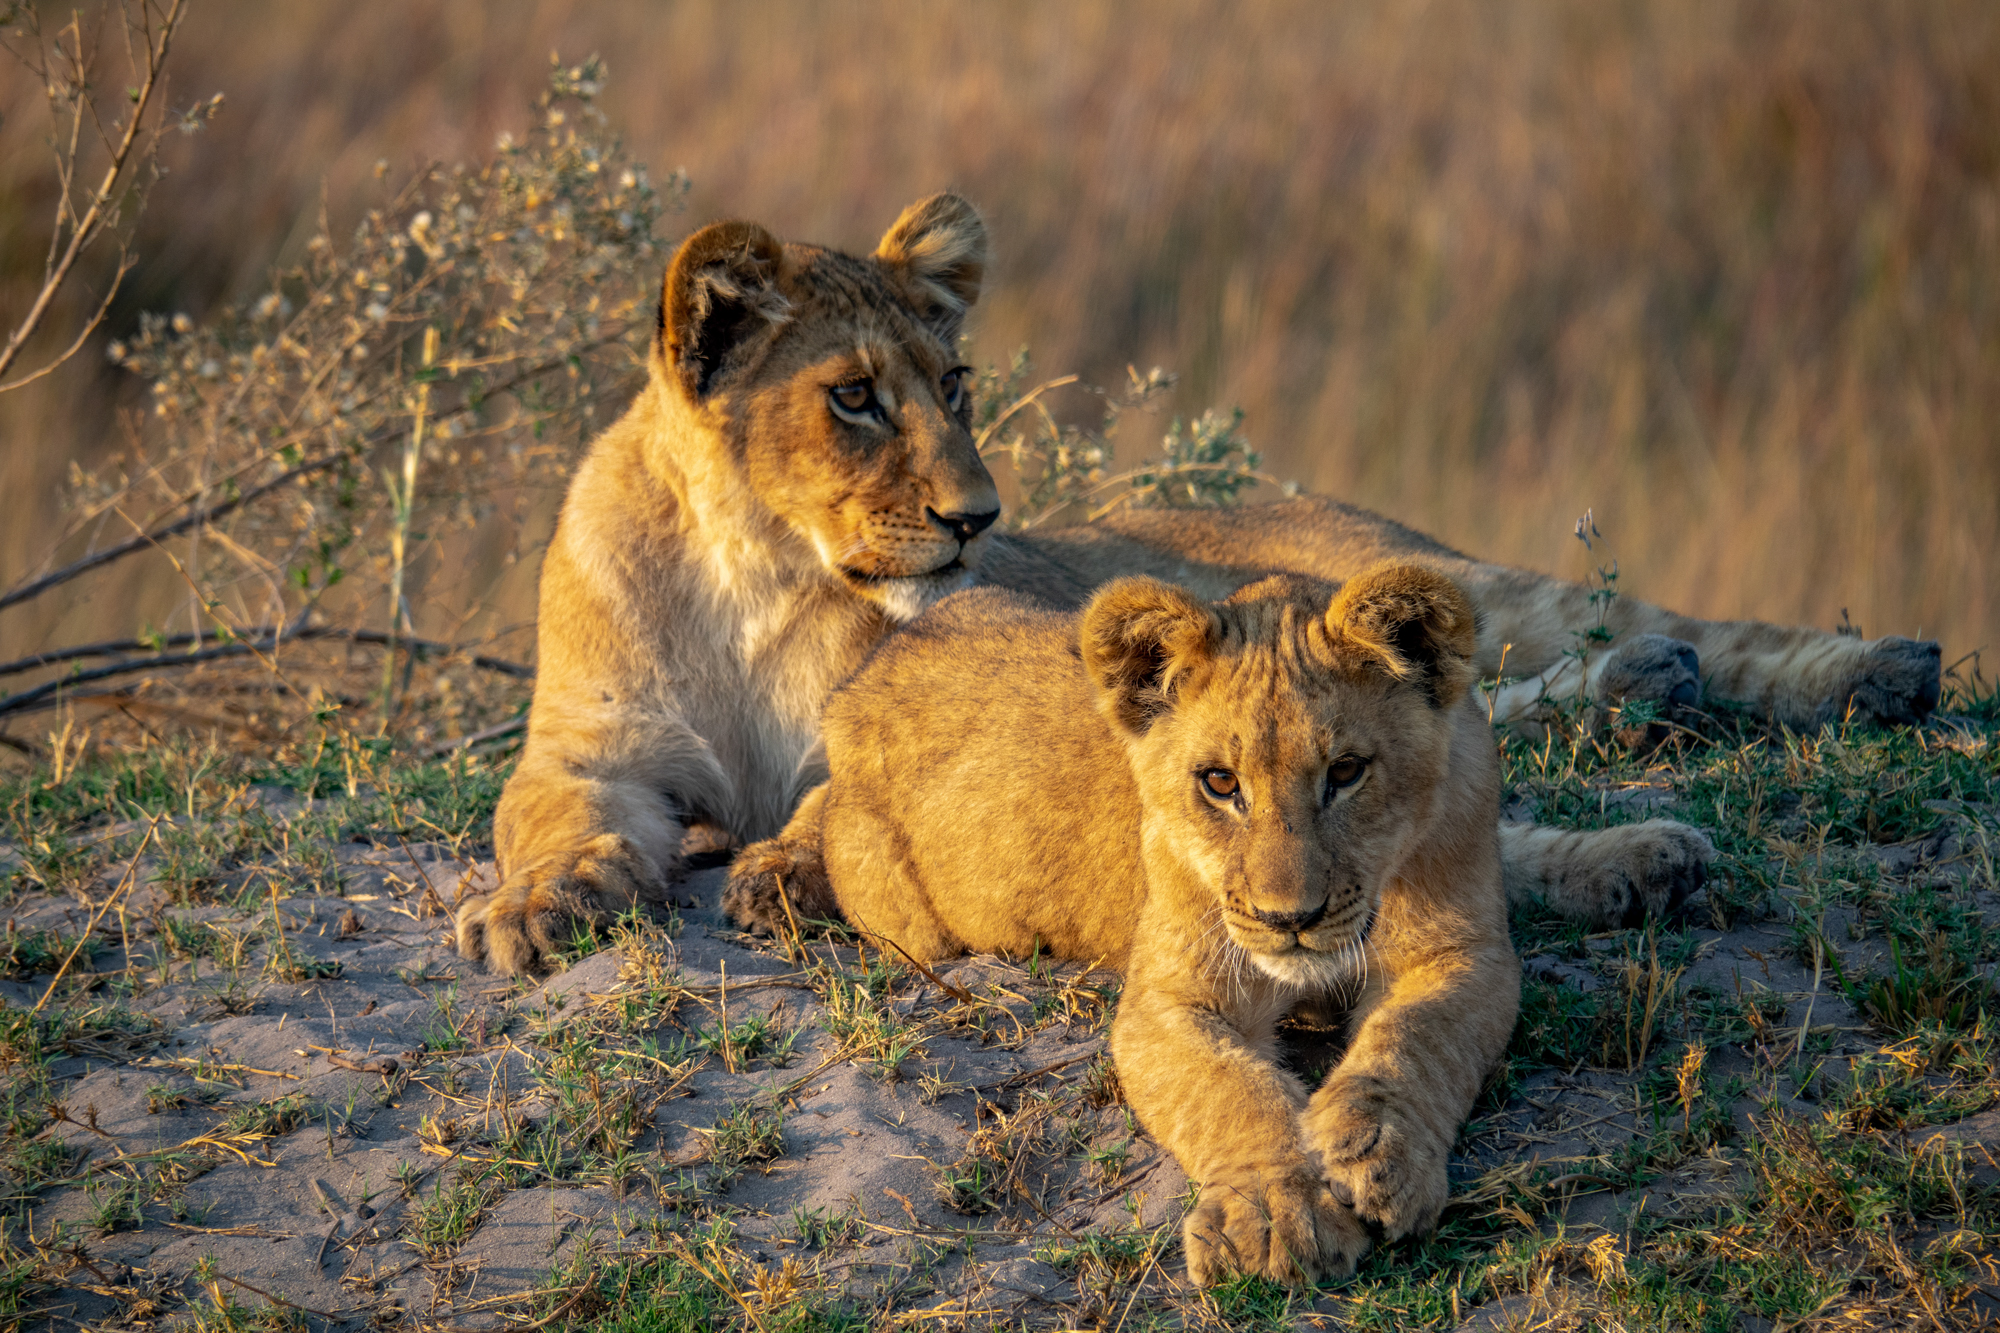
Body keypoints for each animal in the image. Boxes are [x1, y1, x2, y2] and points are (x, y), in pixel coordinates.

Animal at [455, 192, 1941, 974]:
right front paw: (534, 908)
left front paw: (781, 869)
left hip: (1459, 584)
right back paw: (1650, 712)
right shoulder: (589, 750)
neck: (754, 574)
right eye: (854, 398)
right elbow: (542, 823)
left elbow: (825, 804)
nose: (978, 518)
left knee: (1656, 637)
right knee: (1506, 715)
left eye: (953, 383)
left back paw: (1872, 674)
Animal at [755, 566, 1517, 1285]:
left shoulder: (1464, 952)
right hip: (904, 918)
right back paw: (770, 878)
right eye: (1219, 782)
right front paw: (1277, 1210)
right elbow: (1232, 1090)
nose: (1290, 919)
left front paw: (1374, 1151)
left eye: (1348, 771)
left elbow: (1413, 1037)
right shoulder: (1167, 997)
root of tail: (867, 670)